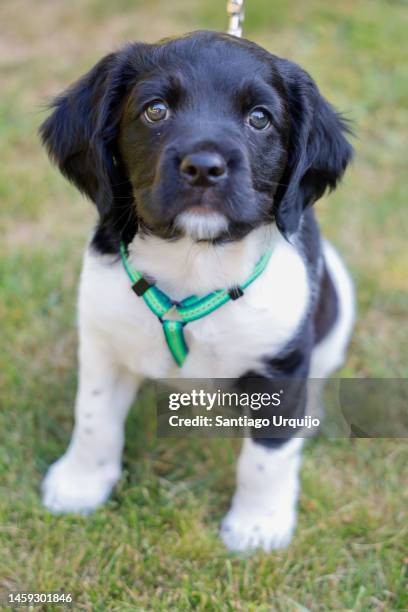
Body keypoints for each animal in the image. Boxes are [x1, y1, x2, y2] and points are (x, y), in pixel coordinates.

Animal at [39, 31, 356, 552]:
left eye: (259, 118)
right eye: (155, 110)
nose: (204, 167)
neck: (195, 265)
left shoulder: (281, 364)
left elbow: (268, 454)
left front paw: (258, 525)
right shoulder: (104, 339)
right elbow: (94, 415)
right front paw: (81, 483)